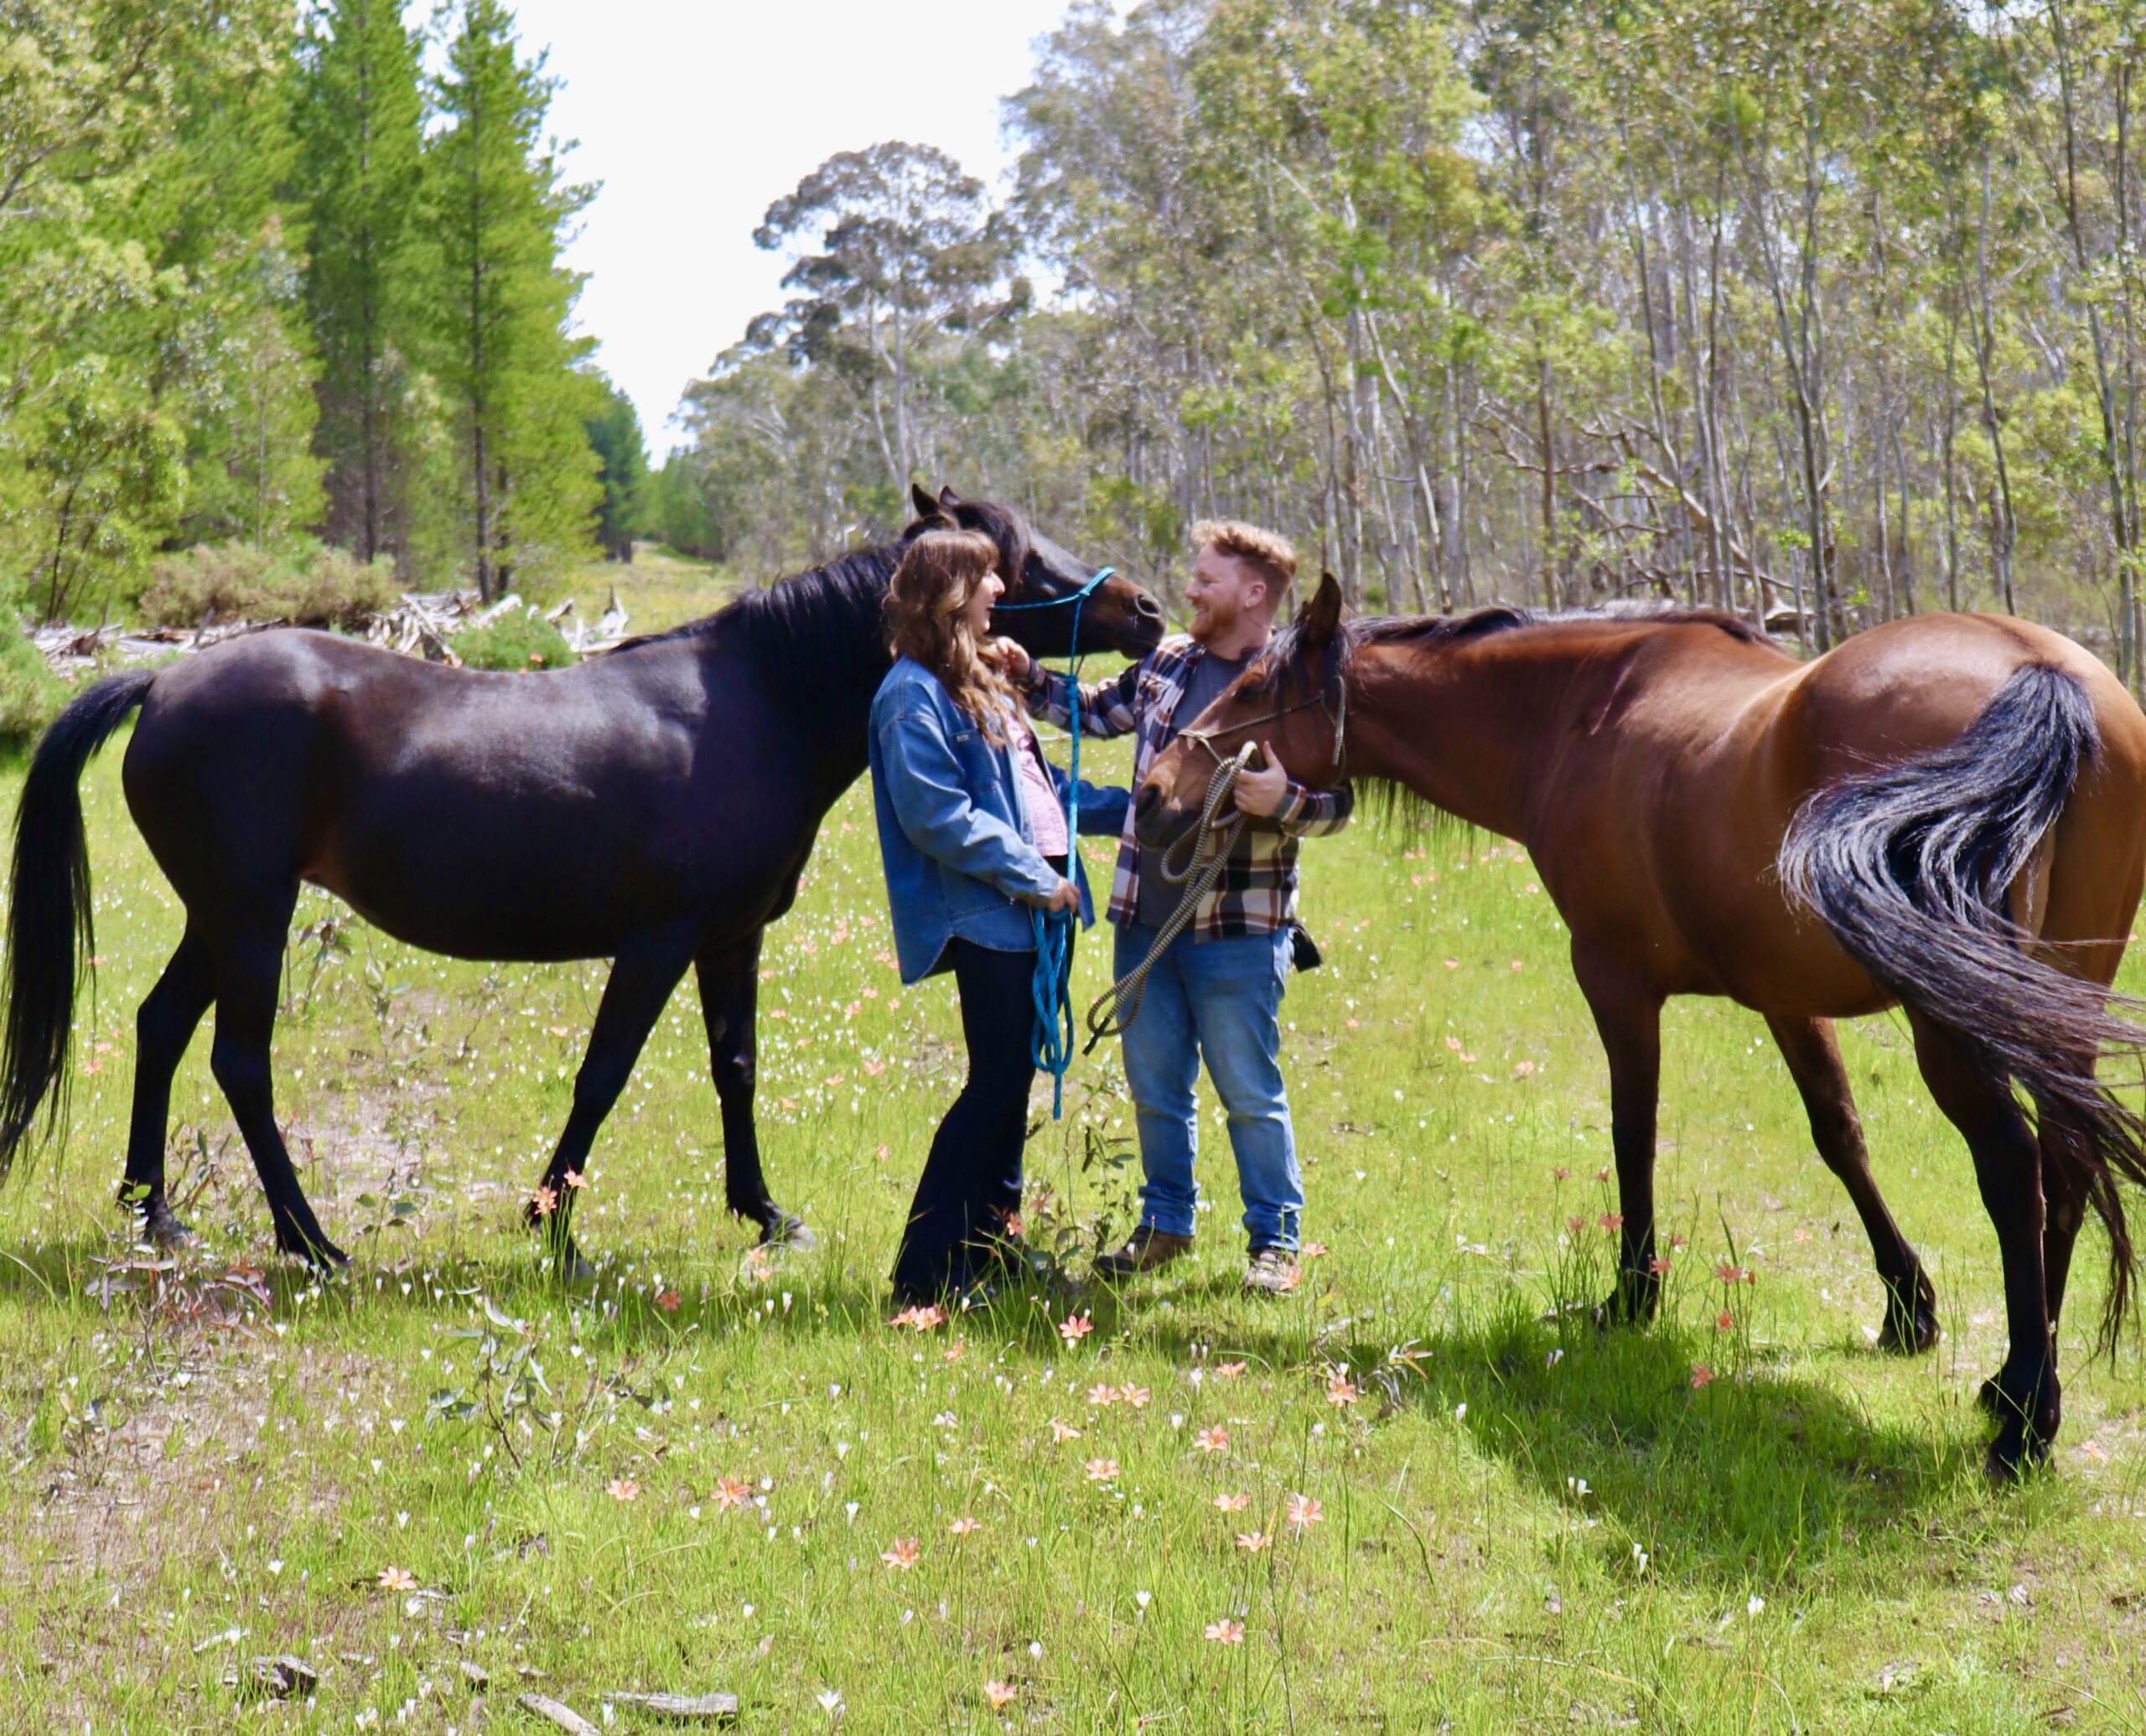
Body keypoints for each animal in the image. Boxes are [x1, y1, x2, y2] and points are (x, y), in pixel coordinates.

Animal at [0, 485, 1164, 1275]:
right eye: (1012, 558)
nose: (1147, 609)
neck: (756, 705)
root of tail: (163, 683)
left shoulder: (730, 939)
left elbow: (736, 1069)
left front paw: (763, 1211)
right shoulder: (656, 942)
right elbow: (602, 1077)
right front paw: (550, 1222)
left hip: (222, 914)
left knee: (159, 1026)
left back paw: (155, 1212)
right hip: (252, 917)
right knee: (240, 1063)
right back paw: (312, 1242)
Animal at [1134, 574, 2146, 1476]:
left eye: (1252, 688)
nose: (1154, 789)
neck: (1576, 714)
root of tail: (2037, 672)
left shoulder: (1614, 981)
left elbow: (1633, 1134)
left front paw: (1630, 1298)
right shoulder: (1784, 996)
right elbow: (1839, 1134)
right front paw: (1907, 1306)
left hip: (1956, 1029)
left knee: (2014, 1170)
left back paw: (2025, 1422)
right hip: (2052, 1004)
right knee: (2065, 1166)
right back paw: (2012, 1387)